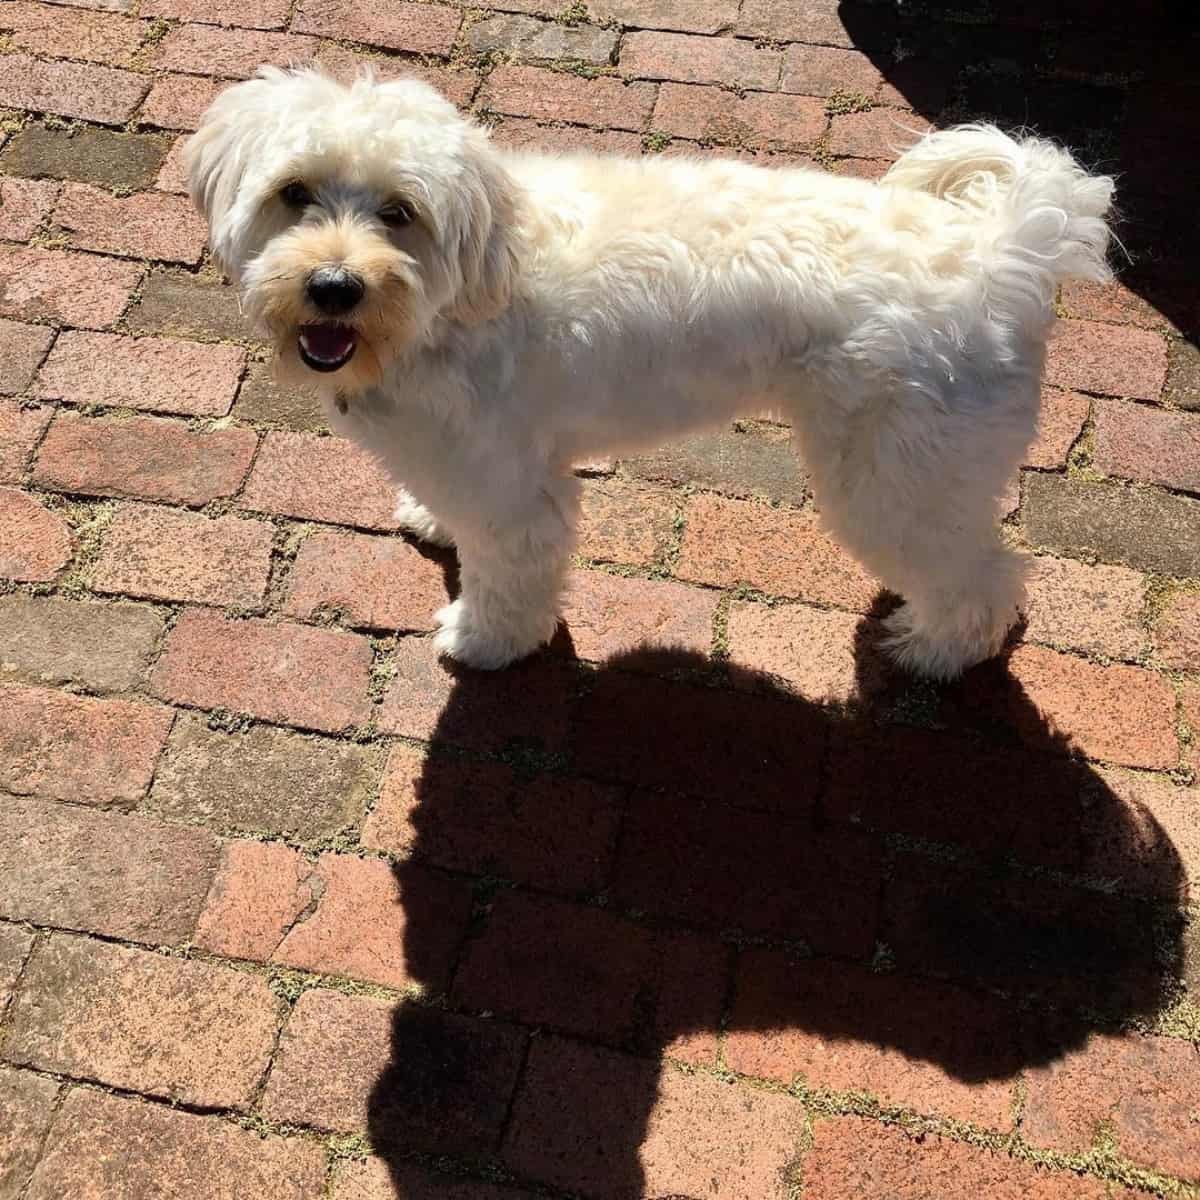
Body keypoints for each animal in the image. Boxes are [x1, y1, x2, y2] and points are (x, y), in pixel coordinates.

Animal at [187, 68, 1113, 676]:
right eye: (294, 192)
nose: (333, 287)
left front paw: (485, 643)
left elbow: (510, 579)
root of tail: (1003, 248)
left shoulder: (515, 490)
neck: (454, 303)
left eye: (399, 212)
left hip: (895, 482)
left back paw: (935, 650)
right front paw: (432, 521)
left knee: (984, 578)